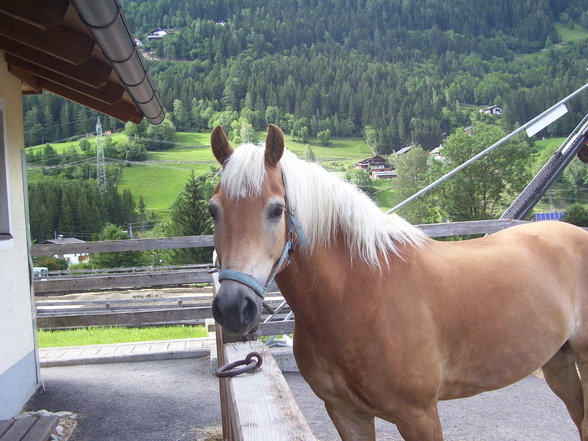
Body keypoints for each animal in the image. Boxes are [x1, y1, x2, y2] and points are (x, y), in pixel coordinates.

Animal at [209, 124, 588, 440]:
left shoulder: (419, 416)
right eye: (213, 210)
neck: (359, 293)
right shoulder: (347, 413)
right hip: (557, 361)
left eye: (276, 210)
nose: (232, 308)